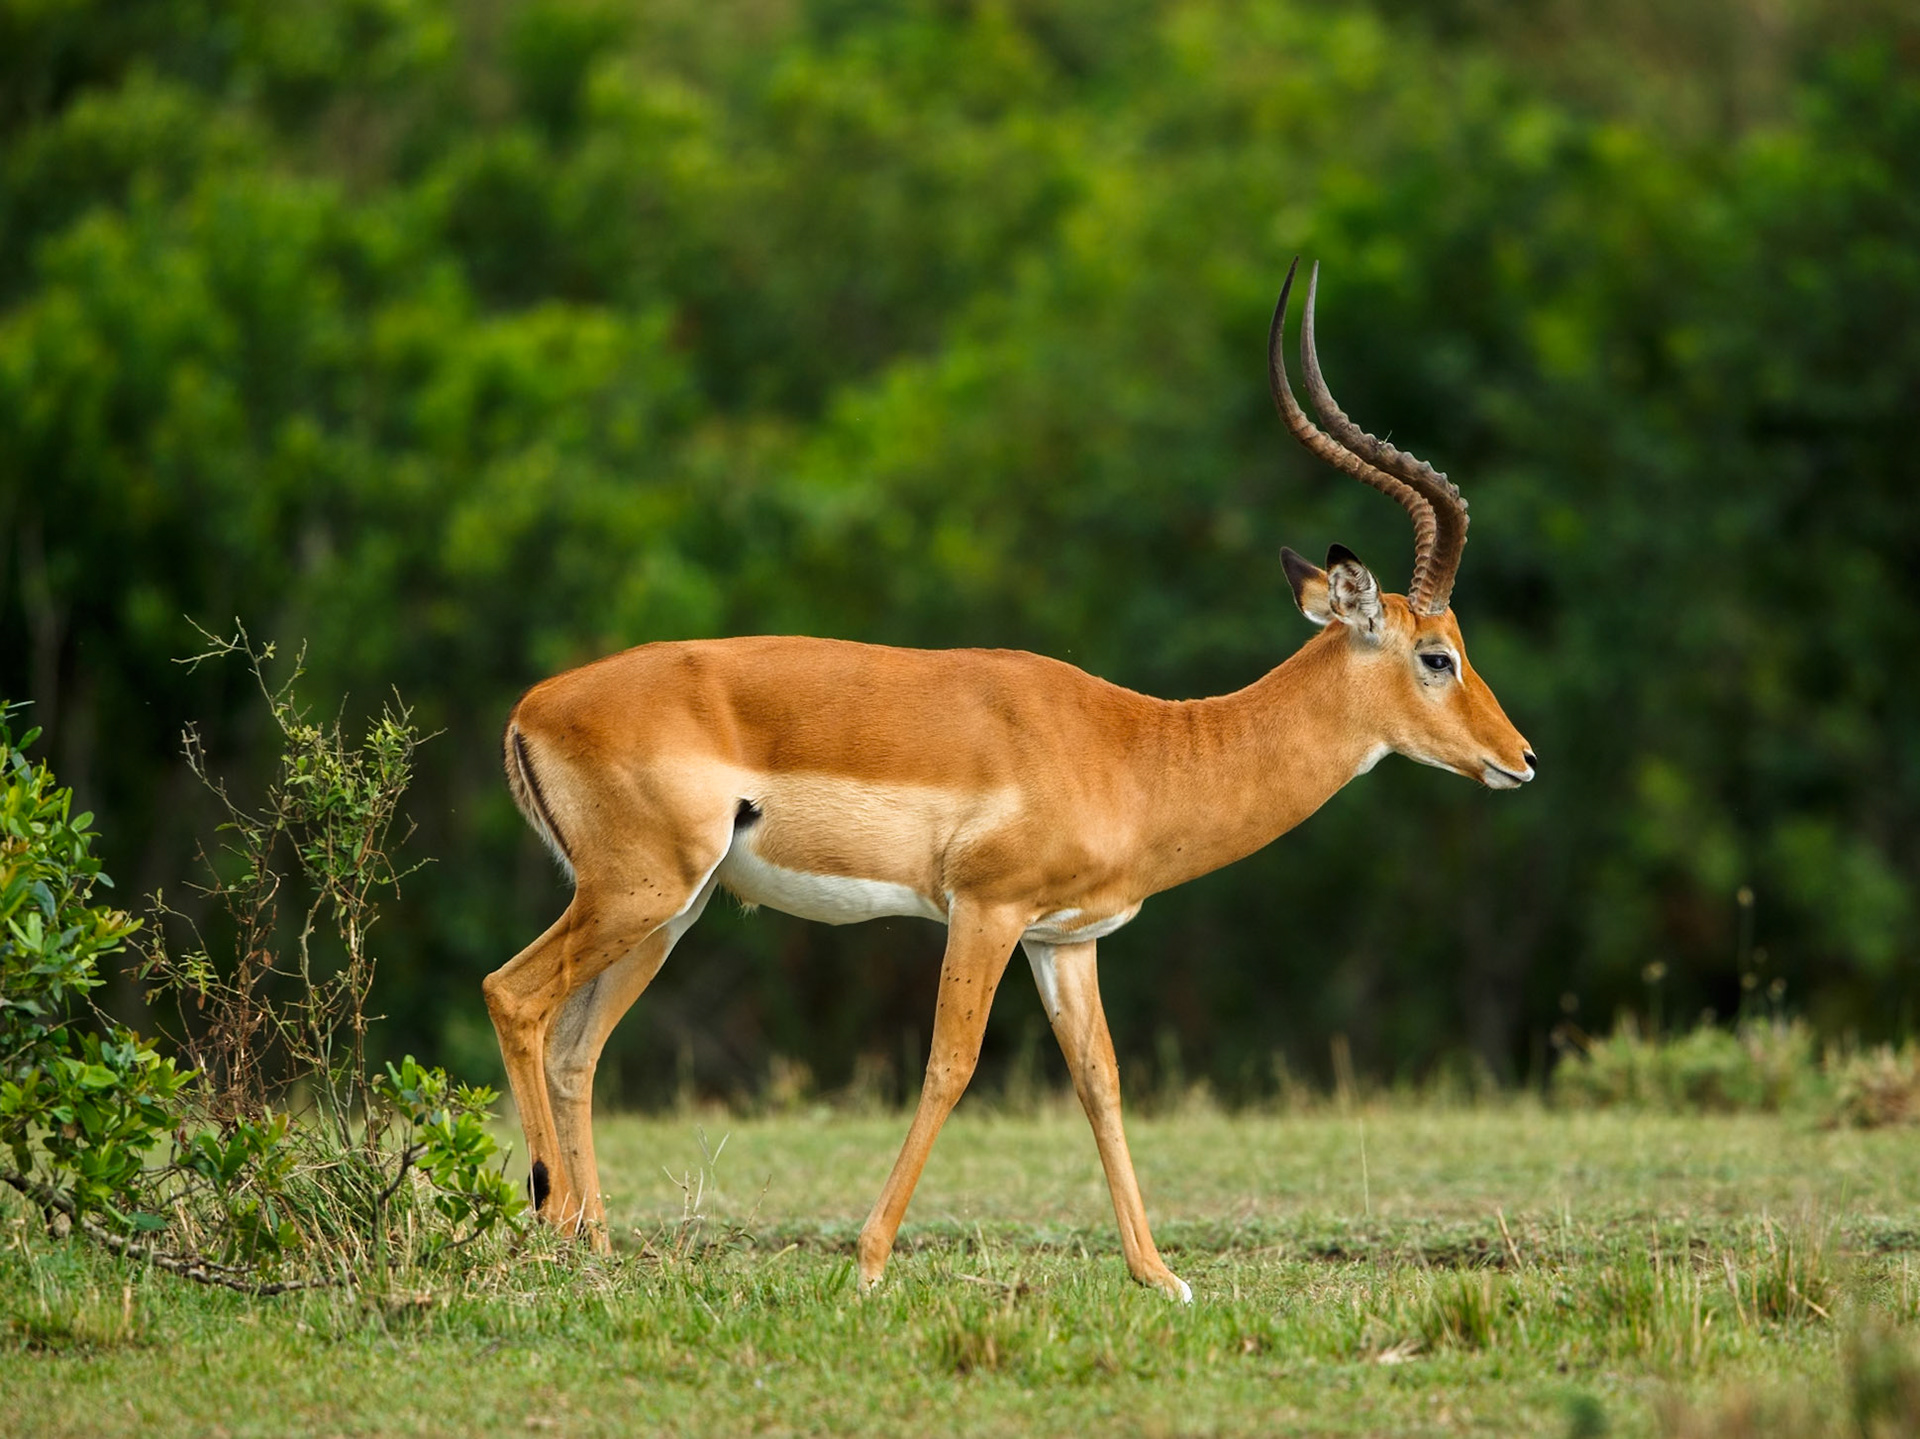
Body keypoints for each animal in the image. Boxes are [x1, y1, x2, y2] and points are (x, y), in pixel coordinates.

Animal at [485, 259, 1535, 1302]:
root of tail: (532, 707)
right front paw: (869, 1261)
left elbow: (1101, 1078)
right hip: (637, 892)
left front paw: (1158, 1274)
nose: (1520, 757)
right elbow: (951, 1062)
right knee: (514, 995)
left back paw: (594, 1245)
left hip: (672, 910)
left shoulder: (1064, 939)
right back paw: (547, 1214)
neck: (1139, 749)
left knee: (578, 1045)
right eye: (1437, 655)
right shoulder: (985, 910)